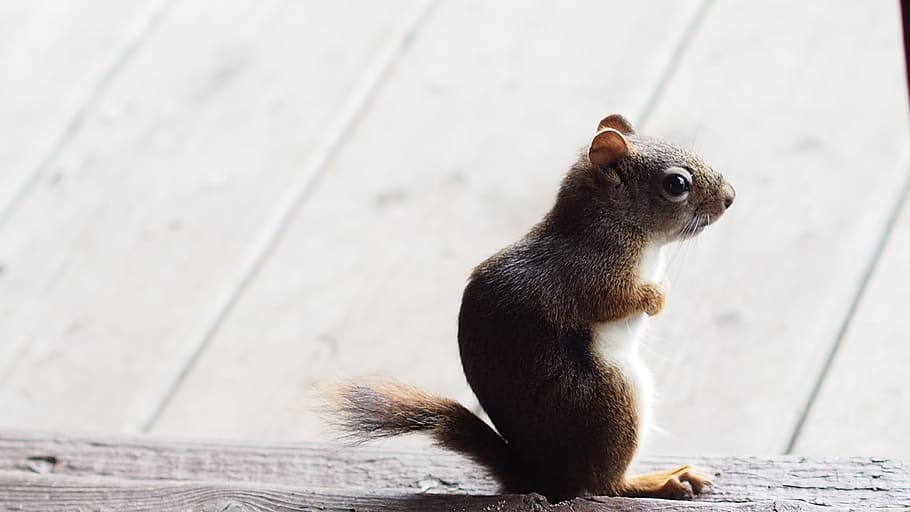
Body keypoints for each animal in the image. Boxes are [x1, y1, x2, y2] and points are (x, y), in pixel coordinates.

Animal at [329, 114, 735, 502]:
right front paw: (658, 295)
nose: (730, 197)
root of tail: (547, 479)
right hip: (612, 399)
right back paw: (661, 480)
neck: (615, 224)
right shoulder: (591, 274)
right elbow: (622, 300)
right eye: (677, 184)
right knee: (605, 485)